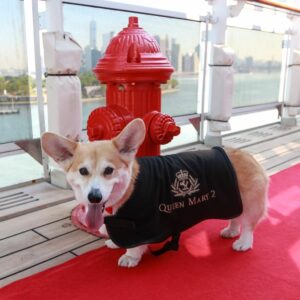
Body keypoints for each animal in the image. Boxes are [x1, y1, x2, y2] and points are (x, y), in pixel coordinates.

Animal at [41, 118, 268, 268]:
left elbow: (135, 245)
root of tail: (250, 156)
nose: (94, 197)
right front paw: (114, 243)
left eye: (109, 170)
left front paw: (130, 257)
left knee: (248, 225)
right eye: (83, 171)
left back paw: (243, 242)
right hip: (231, 201)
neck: (128, 188)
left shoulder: (144, 225)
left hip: (250, 203)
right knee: (236, 218)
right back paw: (231, 231)